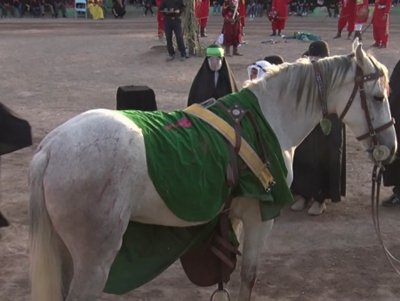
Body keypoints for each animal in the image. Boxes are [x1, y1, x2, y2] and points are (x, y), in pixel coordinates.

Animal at [28, 39, 396, 300]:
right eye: (378, 97)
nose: (389, 149)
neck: (270, 119)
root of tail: (50, 148)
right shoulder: (260, 218)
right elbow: (248, 277)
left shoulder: (233, 215)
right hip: (94, 260)